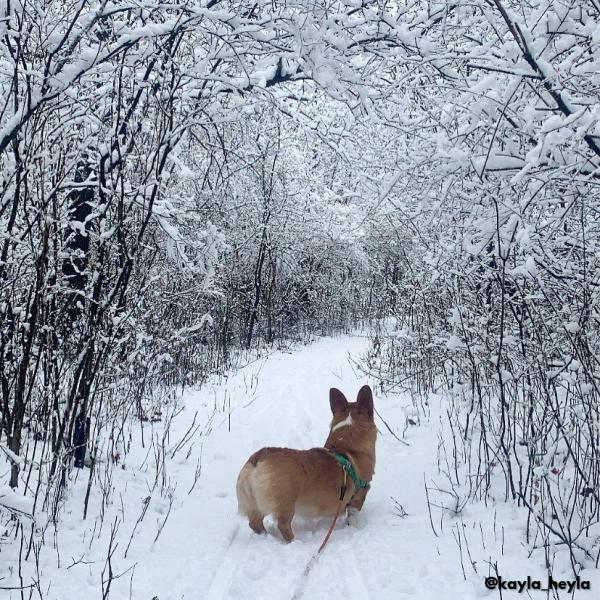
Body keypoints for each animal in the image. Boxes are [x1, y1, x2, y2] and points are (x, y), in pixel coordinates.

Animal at [236, 386, 372, 540]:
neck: (347, 447)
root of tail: (256, 460)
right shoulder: (358, 498)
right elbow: (352, 517)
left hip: (254, 503)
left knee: (255, 523)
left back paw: (265, 536)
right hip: (286, 504)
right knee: (282, 524)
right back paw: (293, 541)